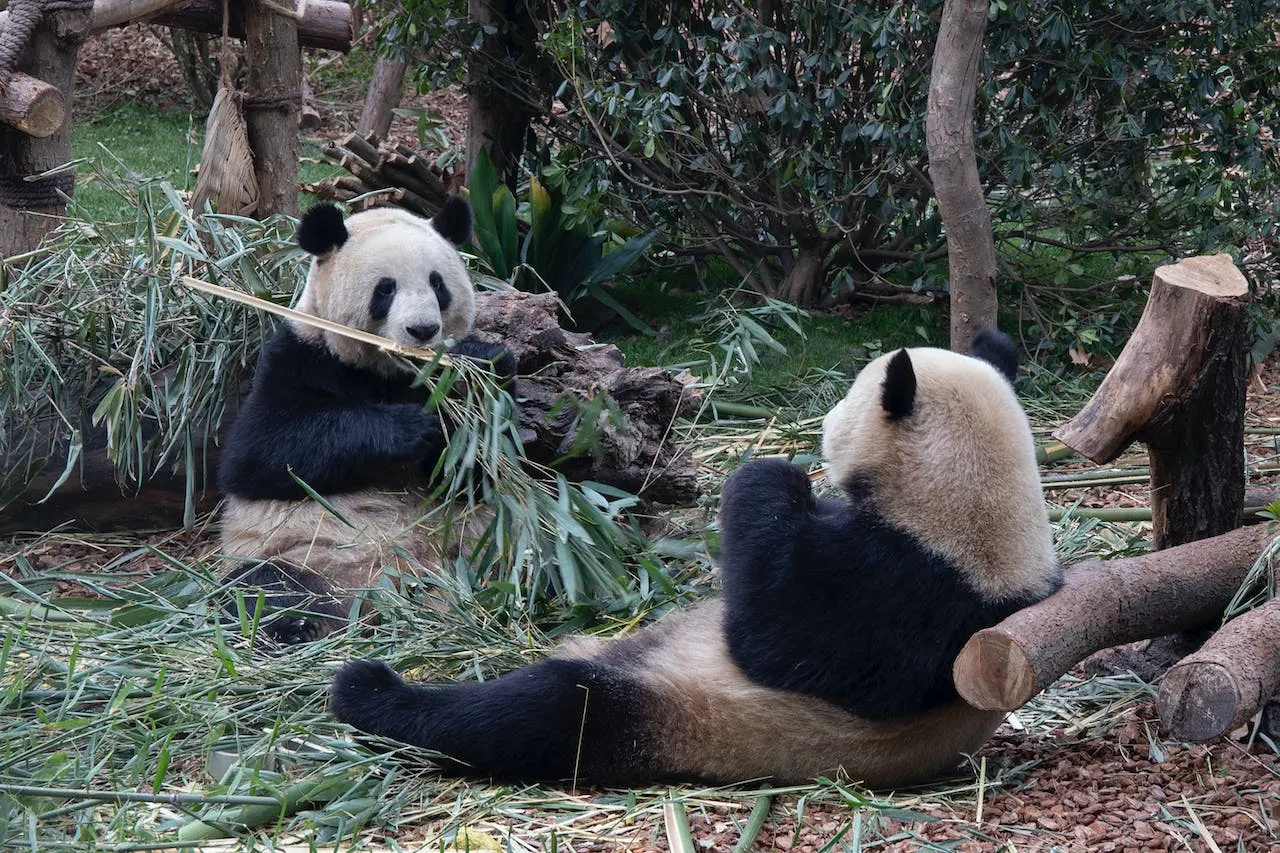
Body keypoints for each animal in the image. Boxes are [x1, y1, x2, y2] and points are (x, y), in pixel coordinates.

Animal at [218, 197, 512, 644]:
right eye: (385, 289)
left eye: (437, 284)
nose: (422, 329)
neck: (396, 372)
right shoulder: (301, 356)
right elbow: (260, 453)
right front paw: (410, 428)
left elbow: (474, 474)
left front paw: (482, 364)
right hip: (302, 554)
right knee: (263, 588)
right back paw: (299, 626)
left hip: (480, 548)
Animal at [328, 330, 1061, 787]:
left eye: (846, 402)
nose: (824, 420)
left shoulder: (907, 592)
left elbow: (778, 637)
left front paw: (771, 474)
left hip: (677, 714)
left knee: (544, 714)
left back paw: (371, 692)